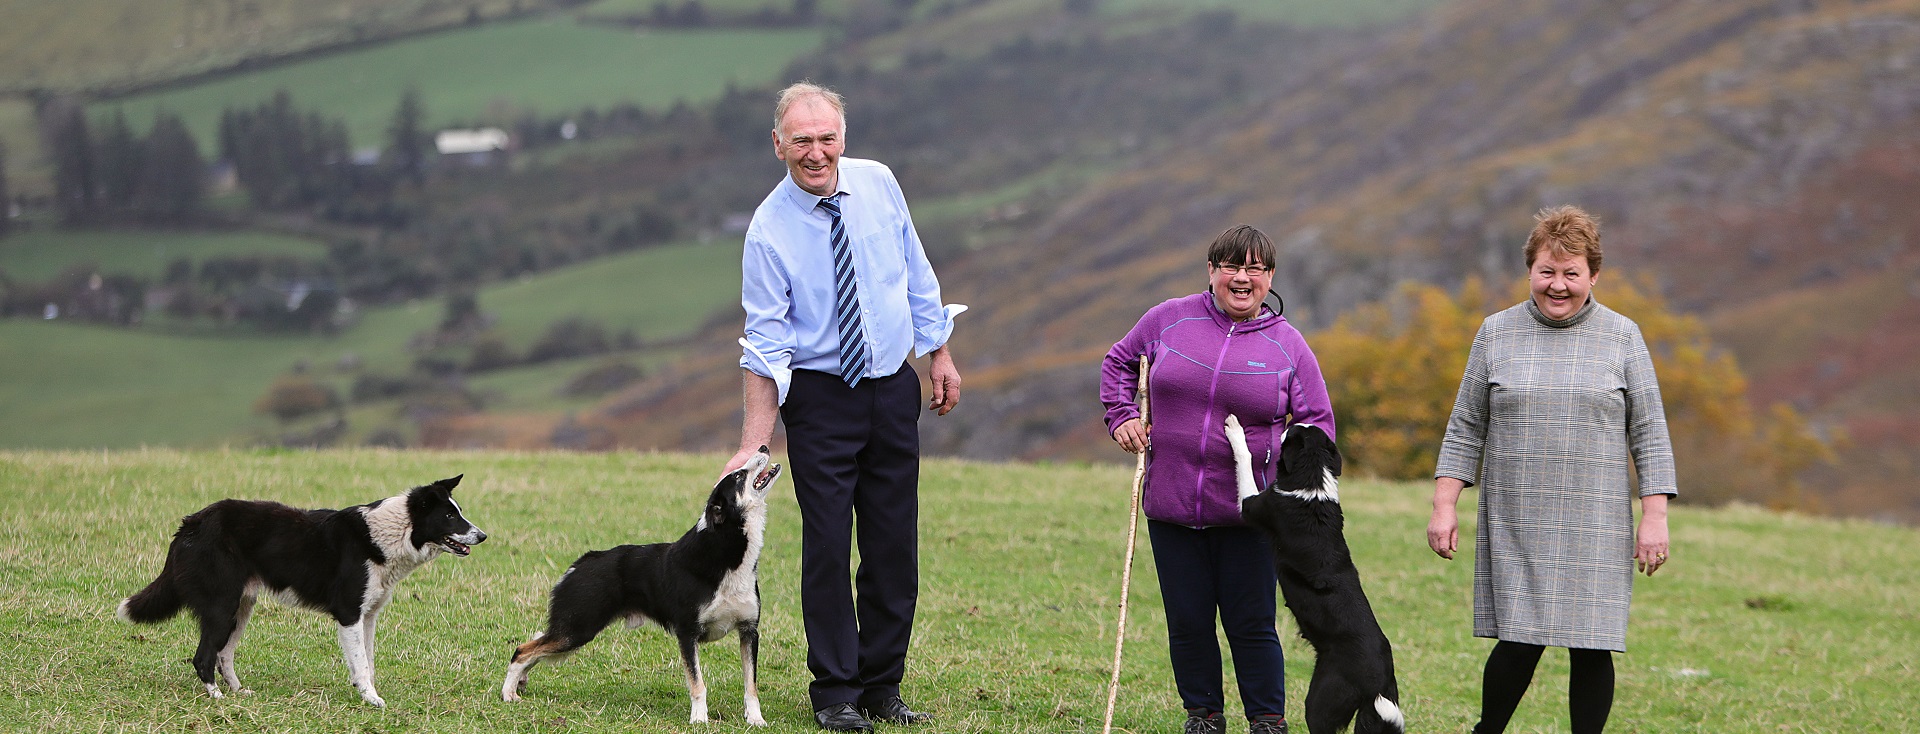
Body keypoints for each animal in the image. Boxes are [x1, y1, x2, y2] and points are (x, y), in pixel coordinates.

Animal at [119, 472, 487, 707]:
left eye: (459, 513)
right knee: (204, 657)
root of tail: (191, 524)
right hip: (221, 606)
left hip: (242, 606)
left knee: (224, 654)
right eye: (449, 517)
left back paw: (238, 691)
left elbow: (367, 661)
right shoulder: (349, 614)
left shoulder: (368, 616)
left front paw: (367, 692)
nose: (482, 536)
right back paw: (217, 698)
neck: (394, 532)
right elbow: (361, 663)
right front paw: (371, 698)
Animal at [506, 443, 791, 726]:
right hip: (577, 629)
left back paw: (521, 682)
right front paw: (699, 719)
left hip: (571, 631)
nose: (763, 446)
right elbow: (697, 684)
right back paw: (508, 694)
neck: (727, 554)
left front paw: (755, 720)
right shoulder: (687, 633)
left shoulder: (748, 630)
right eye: (738, 475)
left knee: (536, 641)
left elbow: (751, 686)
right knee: (522, 650)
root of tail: (582, 562)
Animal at [1221, 415, 1405, 730]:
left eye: (1291, 433)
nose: (1290, 419)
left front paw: (1235, 429)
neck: (1313, 479)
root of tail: (1381, 683)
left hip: (1322, 701)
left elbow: (1244, 459)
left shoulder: (1253, 505)